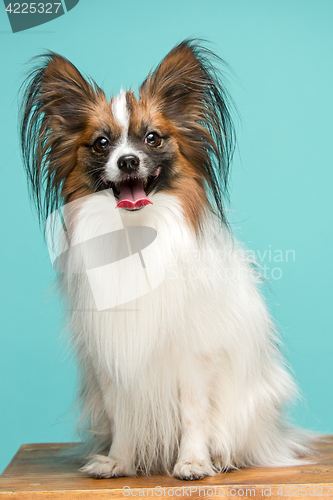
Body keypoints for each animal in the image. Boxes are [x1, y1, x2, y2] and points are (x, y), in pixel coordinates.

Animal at [20, 40, 308, 480]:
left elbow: (193, 413)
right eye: (101, 144)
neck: (136, 233)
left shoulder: (193, 357)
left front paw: (193, 462)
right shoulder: (113, 358)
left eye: (153, 139)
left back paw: (221, 457)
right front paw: (119, 461)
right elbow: (122, 413)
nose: (127, 161)